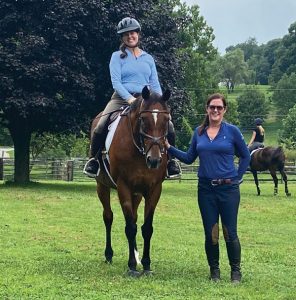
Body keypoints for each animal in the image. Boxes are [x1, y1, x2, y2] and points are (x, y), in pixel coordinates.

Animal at [92, 85, 171, 276]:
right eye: (143, 119)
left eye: (167, 120)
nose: (154, 160)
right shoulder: (124, 187)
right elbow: (130, 228)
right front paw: (132, 267)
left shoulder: (153, 189)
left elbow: (146, 228)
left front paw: (146, 264)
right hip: (102, 186)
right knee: (108, 217)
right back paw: (109, 255)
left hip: (138, 193)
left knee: (134, 217)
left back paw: (136, 255)